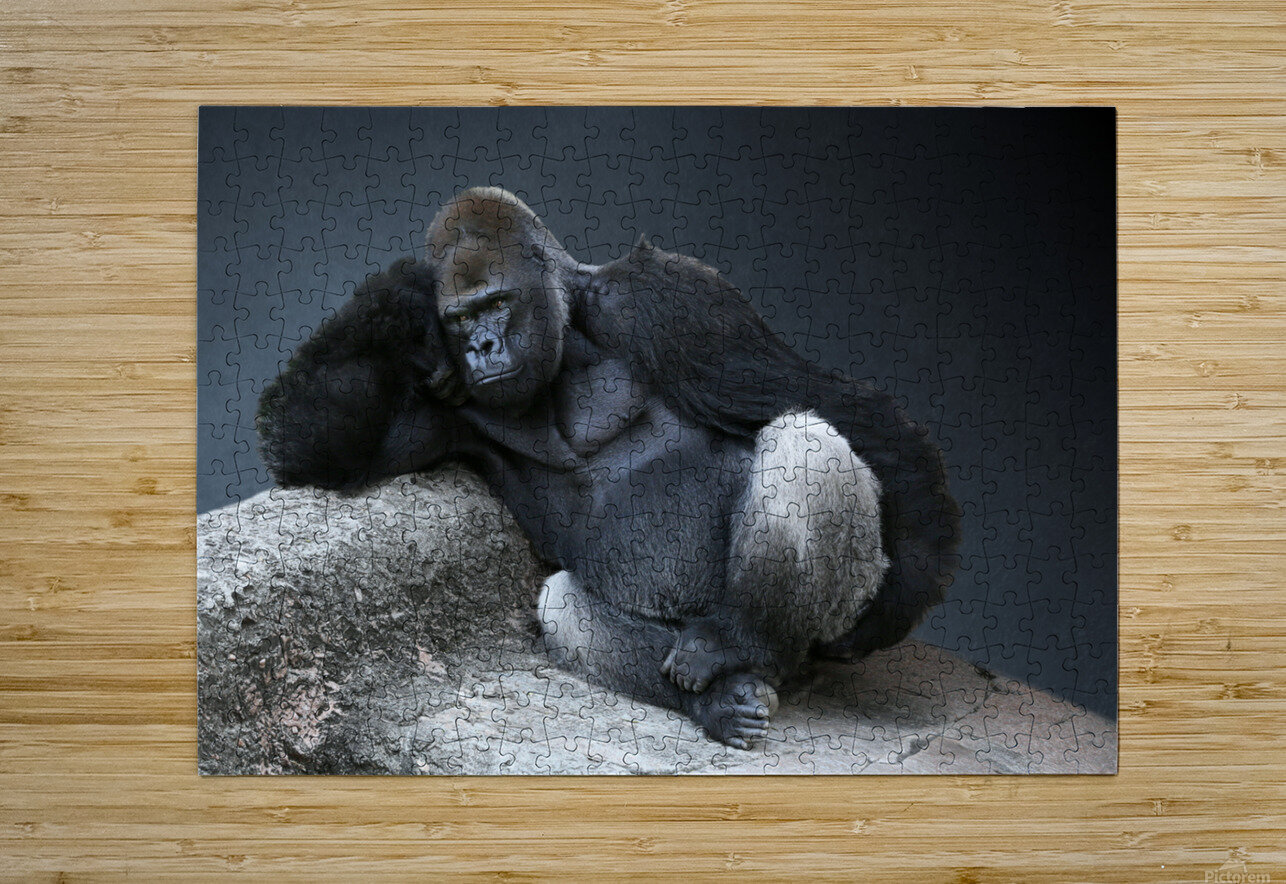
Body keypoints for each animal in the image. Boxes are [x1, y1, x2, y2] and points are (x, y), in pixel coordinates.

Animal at [257, 188, 960, 748]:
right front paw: (400, 291)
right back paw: (718, 701)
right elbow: (318, 446)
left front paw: (908, 588)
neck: (569, 323)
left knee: (803, 435)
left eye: (497, 303)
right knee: (562, 603)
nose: (481, 347)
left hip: (795, 645)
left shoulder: (665, 297)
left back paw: (741, 640)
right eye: (459, 319)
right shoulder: (437, 390)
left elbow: (839, 406)